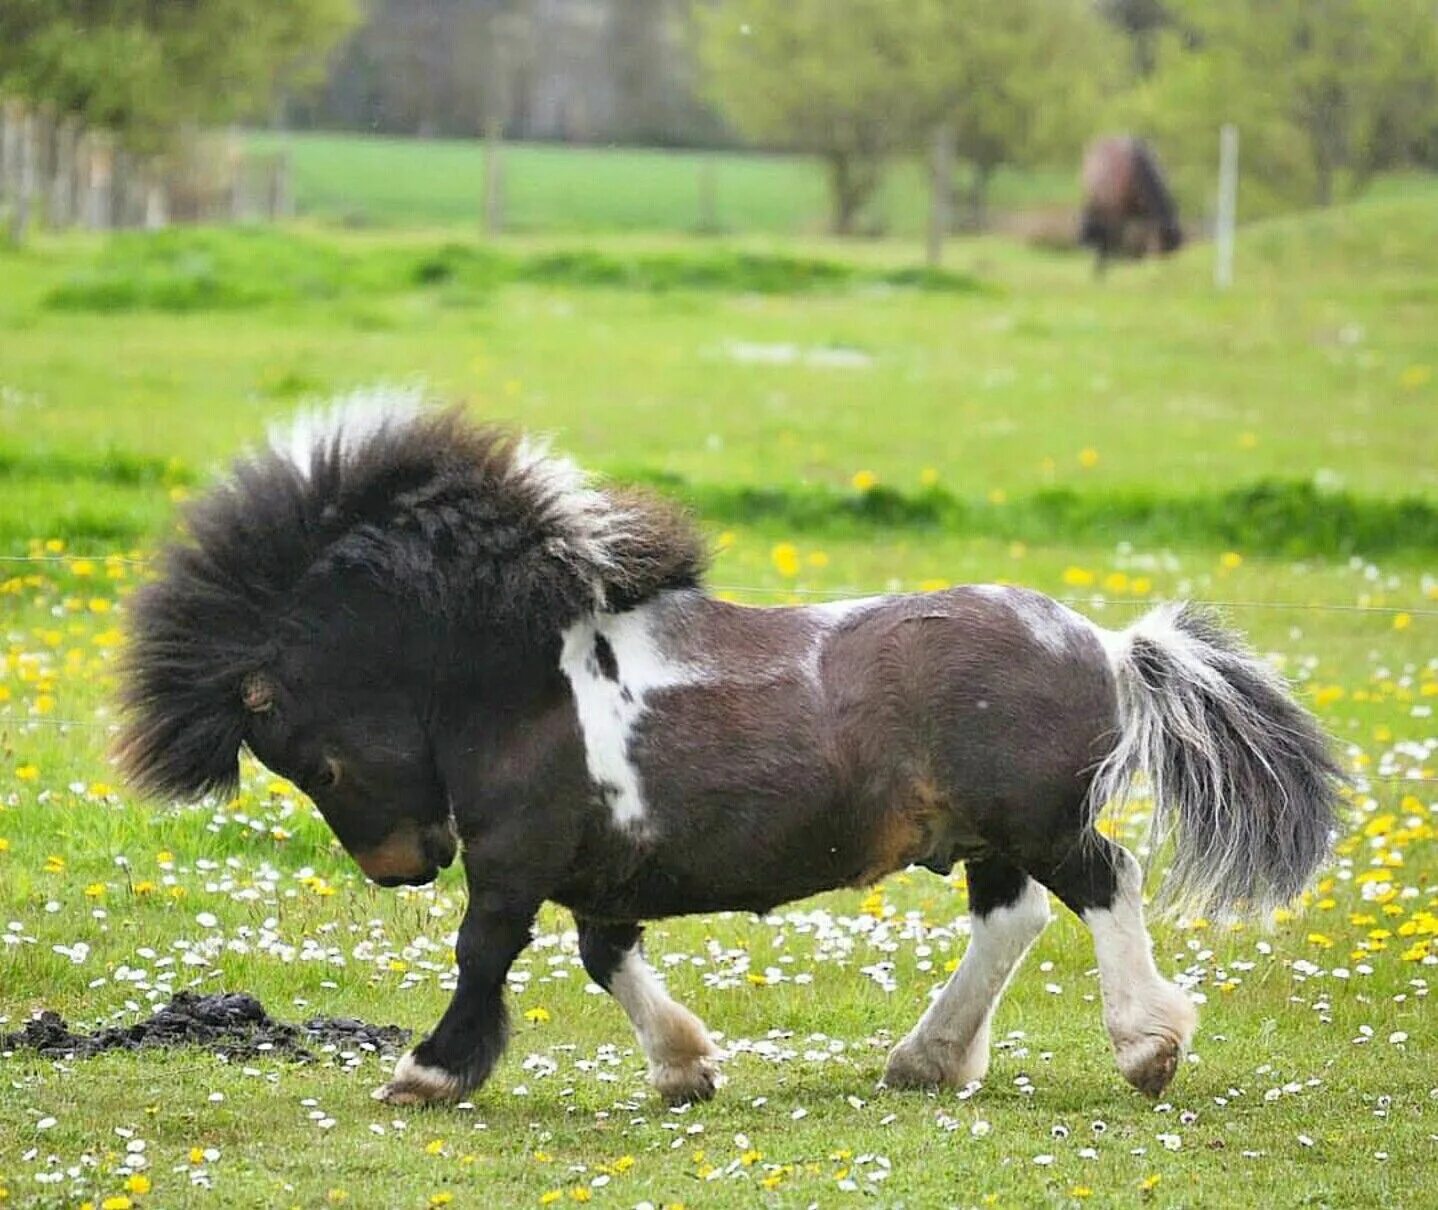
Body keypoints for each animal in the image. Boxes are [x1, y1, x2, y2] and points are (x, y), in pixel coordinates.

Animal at [112, 399, 1334, 1110]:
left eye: (311, 762)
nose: (404, 866)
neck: (516, 676)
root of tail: (1110, 647)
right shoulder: (598, 869)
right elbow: (605, 957)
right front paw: (685, 1066)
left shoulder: (514, 858)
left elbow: (484, 952)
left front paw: (427, 1071)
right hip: (988, 832)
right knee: (1013, 918)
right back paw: (926, 1062)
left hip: (1038, 817)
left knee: (1104, 885)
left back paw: (1145, 1048)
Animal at [1081, 134, 1184, 273]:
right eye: (1164, 247)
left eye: (1176, 251)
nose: (1163, 267)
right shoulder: (1117, 211)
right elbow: (1117, 235)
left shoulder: (1141, 215)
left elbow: (1136, 236)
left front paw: (1133, 260)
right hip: (1102, 205)